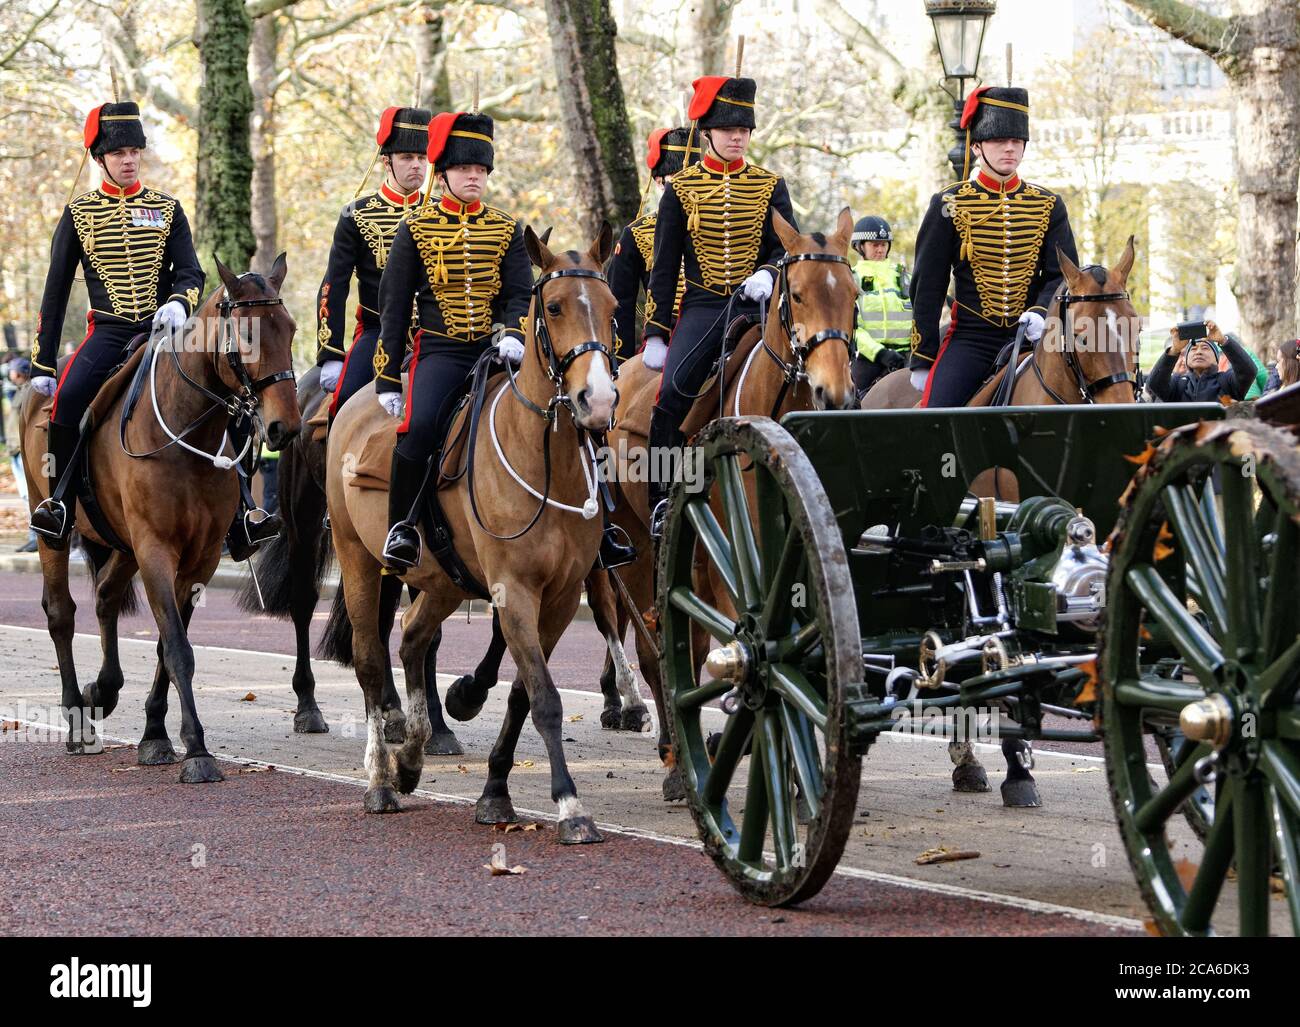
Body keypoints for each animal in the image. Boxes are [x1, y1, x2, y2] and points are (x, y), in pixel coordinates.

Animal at [21, 254, 300, 780]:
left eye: (291, 329)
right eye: (247, 335)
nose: (285, 427)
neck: (184, 431)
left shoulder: (199, 557)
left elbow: (167, 645)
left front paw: (155, 733)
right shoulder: (155, 549)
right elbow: (177, 649)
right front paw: (197, 750)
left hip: (122, 541)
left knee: (106, 597)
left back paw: (103, 690)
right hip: (55, 529)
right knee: (61, 613)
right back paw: (76, 719)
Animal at [330, 220, 624, 842]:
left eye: (612, 308)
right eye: (554, 307)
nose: (598, 401)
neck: (542, 457)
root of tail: (358, 397)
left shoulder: (560, 598)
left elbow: (521, 695)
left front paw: (495, 794)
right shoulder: (514, 591)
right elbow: (545, 698)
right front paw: (570, 805)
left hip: (443, 579)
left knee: (413, 637)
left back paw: (413, 754)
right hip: (359, 560)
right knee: (371, 660)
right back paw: (381, 780)